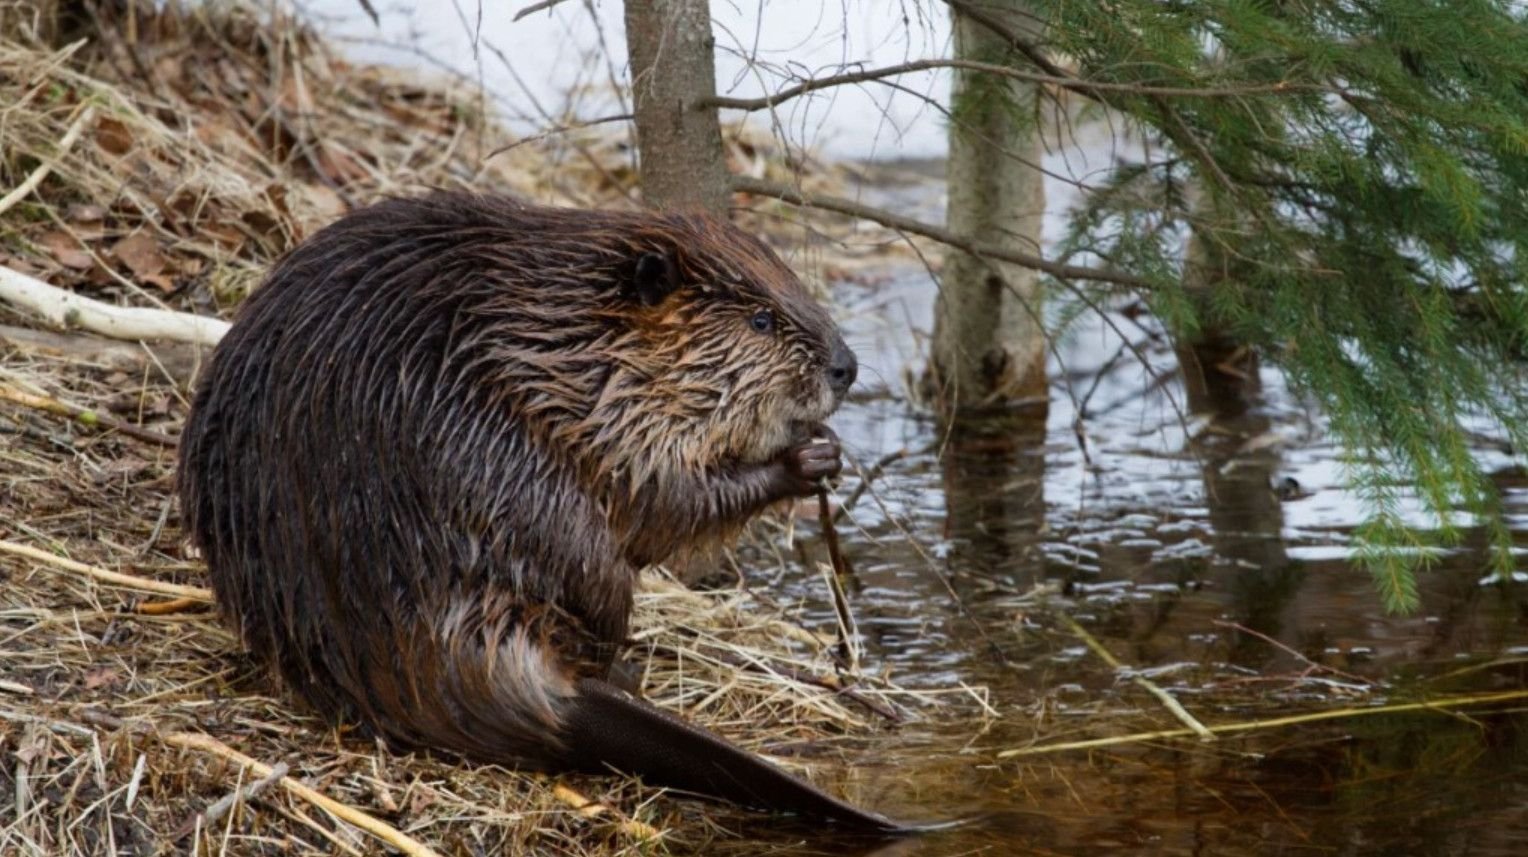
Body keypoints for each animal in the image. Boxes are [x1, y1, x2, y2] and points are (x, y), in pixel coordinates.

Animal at [175, 188, 904, 831]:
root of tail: (549, 704)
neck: (557, 332)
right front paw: (807, 457)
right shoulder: (600, 412)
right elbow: (658, 498)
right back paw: (628, 669)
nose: (845, 366)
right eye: (760, 321)